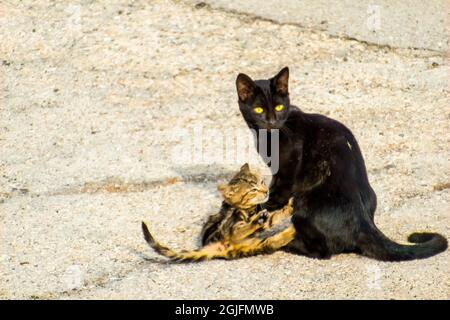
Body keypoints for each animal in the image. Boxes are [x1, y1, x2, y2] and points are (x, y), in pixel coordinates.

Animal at [142, 164, 296, 262]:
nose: (266, 191)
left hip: (255, 245)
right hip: (229, 228)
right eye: (253, 190)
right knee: (238, 231)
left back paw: (290, 232)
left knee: (271, 241)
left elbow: (275, 216)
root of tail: (216, 246)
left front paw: (290, 207)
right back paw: (260, 222)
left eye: (262, 182)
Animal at [236, 67, 446, 260]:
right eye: (259, 110)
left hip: (305, 203)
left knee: (322, 251)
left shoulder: (285, 175)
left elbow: (272, 198)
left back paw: (287, 243)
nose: (271, 121)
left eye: (279, 107)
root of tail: (364, 222)